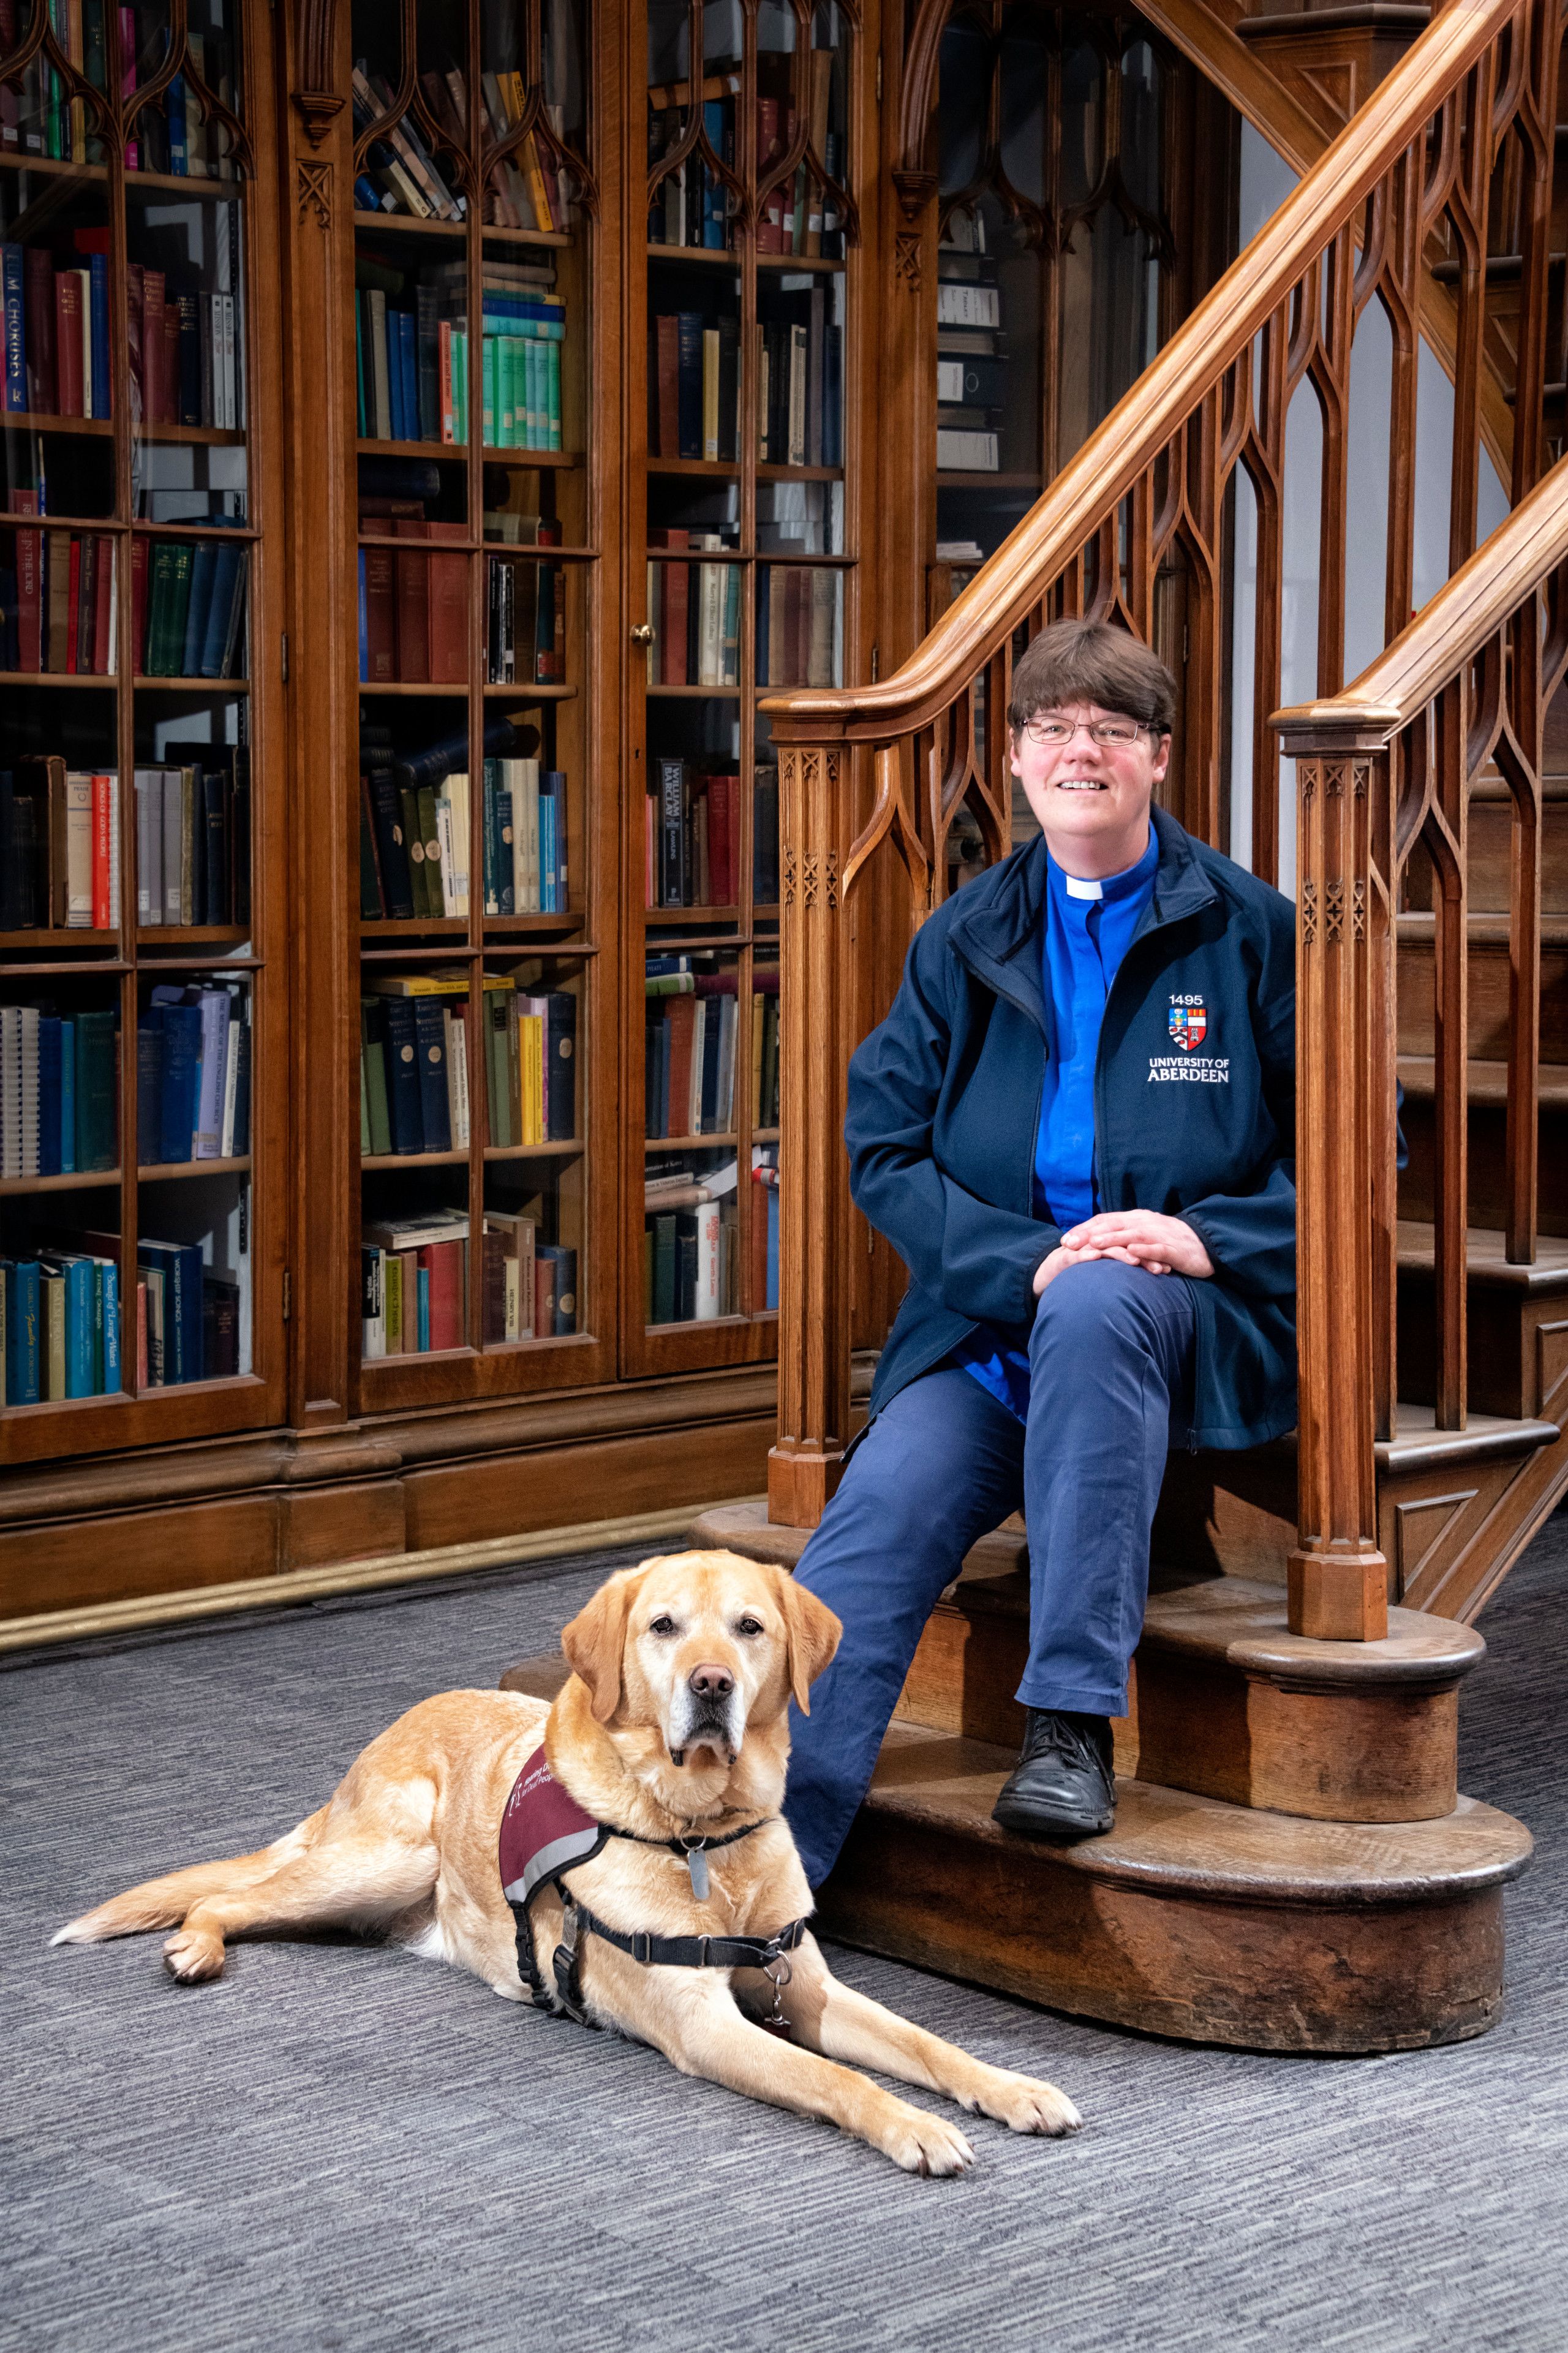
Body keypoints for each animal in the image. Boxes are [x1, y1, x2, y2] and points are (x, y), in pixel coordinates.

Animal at [51, 1553, 1073, 2174]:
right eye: (664, 1626)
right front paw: (917, 2127)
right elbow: (842, 2080)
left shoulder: (805, 1986)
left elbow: (925, 2043)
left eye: (750, 1627)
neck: (703, 1836)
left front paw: (1011, 2088)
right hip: (382, 1857)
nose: (712, 1686)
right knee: (232, 1894)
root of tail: (386, 1734)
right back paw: (196, 1946)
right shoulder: (706, 2026)